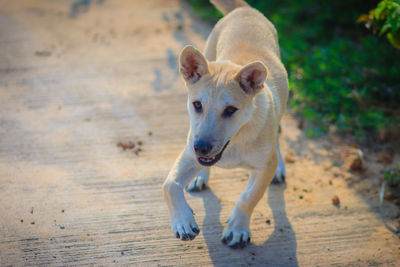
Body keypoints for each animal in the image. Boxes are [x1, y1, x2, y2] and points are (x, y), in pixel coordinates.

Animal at [162, 0, 288, 249]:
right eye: (197, 104)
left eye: (230, 110)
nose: (201, 147)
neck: (236, 140)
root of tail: (245, 10)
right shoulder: (189, 153)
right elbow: (169, 184)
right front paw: (182, 221)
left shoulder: (264, 168)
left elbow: (248, 197)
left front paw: (237, 230)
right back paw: (201, 177)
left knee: (278, 133)